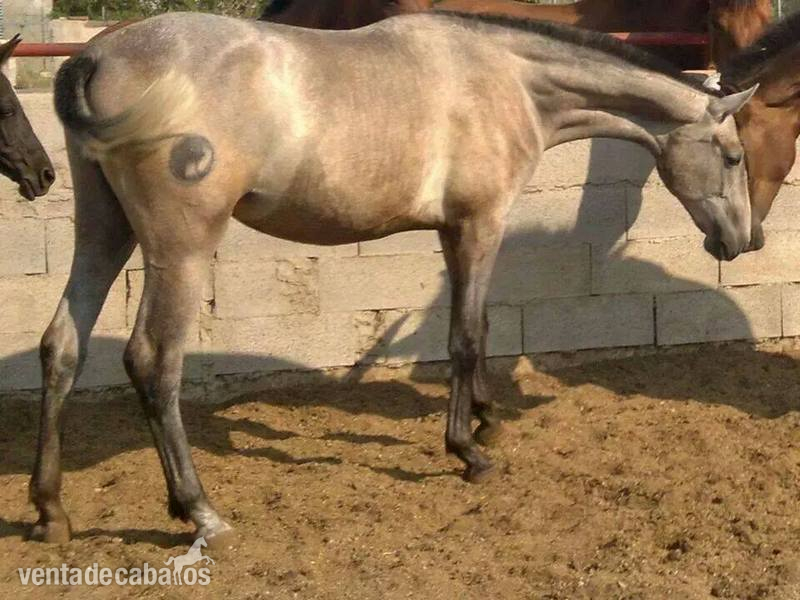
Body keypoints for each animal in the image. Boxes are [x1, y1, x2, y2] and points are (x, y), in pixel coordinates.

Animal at [29, 11, 756, 547]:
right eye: (732, 155)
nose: (743, 240)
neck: (508, 81)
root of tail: (98, 54)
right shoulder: (480, 224)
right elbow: (464, 337)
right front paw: (469, 453)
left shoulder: (452, 230)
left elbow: (476, 324)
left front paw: (487, 420)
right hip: (179, 249)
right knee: (154, 362)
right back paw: (200, 510)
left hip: (104, 231)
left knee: (62, 345)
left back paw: (50, 510)